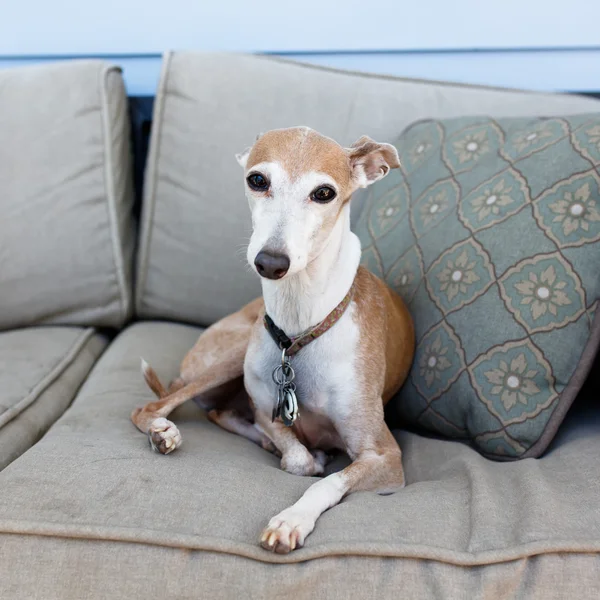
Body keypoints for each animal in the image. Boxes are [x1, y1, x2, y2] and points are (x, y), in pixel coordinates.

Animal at [131, 126, 412, 552]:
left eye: (324, 192)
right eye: (257, 180)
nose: (271, 263)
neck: (301, 327)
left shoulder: (385, 455)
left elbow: (327, 480)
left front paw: (291, 519)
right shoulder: (266, 409)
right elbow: (295, 455)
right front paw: (301, 455)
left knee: (216, 412)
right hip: (233, 353)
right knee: (156, 408)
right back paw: (165, 432)